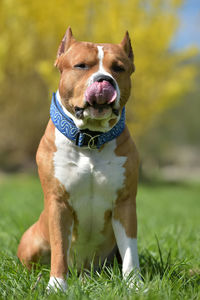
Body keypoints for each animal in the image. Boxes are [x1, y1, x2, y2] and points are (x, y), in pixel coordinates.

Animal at [18, 27, 141, 290]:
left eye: (119, 68)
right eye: (81, 65)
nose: (104, 80)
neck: (90, 140)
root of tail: (83, 271)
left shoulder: (125, 204)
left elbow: (130, 251)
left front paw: (135, 286)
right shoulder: (58, 203)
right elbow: (59, 249)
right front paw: (57, 285)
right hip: (31, 242)